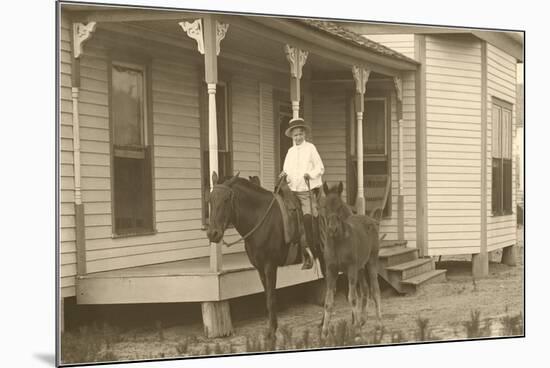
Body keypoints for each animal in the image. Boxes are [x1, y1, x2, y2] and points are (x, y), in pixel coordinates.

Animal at [322, 182, 382, 336]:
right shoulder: (331, 270)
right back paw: (361, 320)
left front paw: (357, 330)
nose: (332, 229)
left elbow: (352, 298)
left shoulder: (351, 269)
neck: (338, 242)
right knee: (365, 289)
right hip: (360, 268)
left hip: (371, 261)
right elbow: (328, 302)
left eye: (339, 206)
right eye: (324, 206)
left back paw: (378, 324)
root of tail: (372, 220)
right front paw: (324, 332)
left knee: (375, 290)